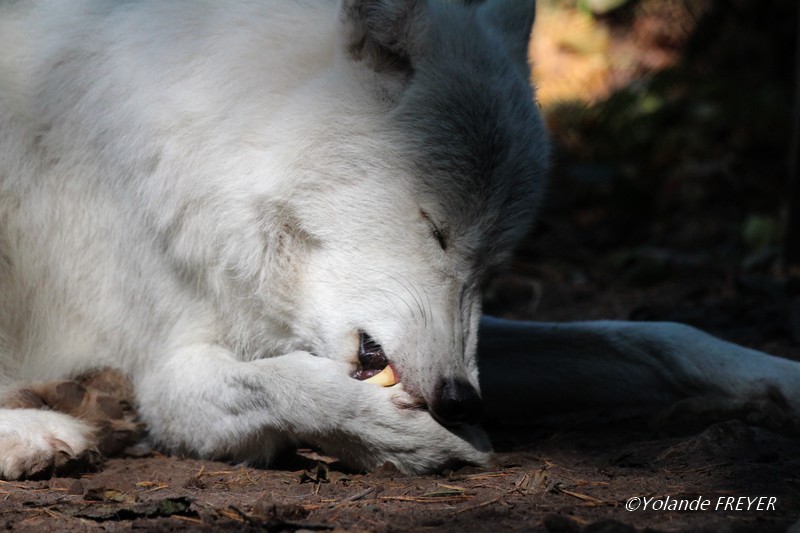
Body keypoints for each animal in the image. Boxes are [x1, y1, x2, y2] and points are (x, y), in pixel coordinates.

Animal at [0, 0, 796, 478]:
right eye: (436, 229)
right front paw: (420, 441)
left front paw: (780, 376)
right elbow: (288, 384)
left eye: (492, 257)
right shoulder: (168, 373)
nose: (459, 398)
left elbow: (652, 334)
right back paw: (41, 432)